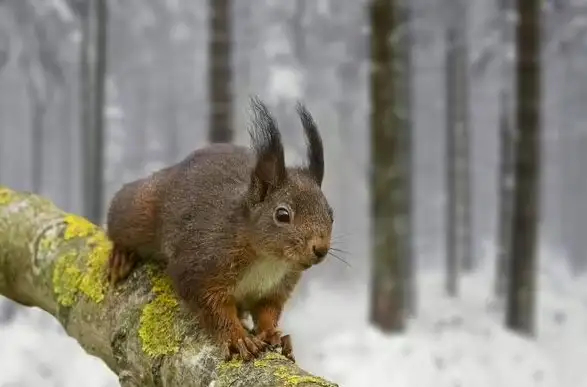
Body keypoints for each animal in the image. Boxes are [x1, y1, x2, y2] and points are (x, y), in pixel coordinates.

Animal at [106, 98, 336, 364]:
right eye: (282, 215)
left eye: (331, 214)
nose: (321, 249)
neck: (267, 259)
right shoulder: (203, 263)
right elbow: (212, 307)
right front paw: (237, 338)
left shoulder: (276, 287)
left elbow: (268, 311)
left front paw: (274, 335)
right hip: (140, 210)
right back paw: (120, 255)